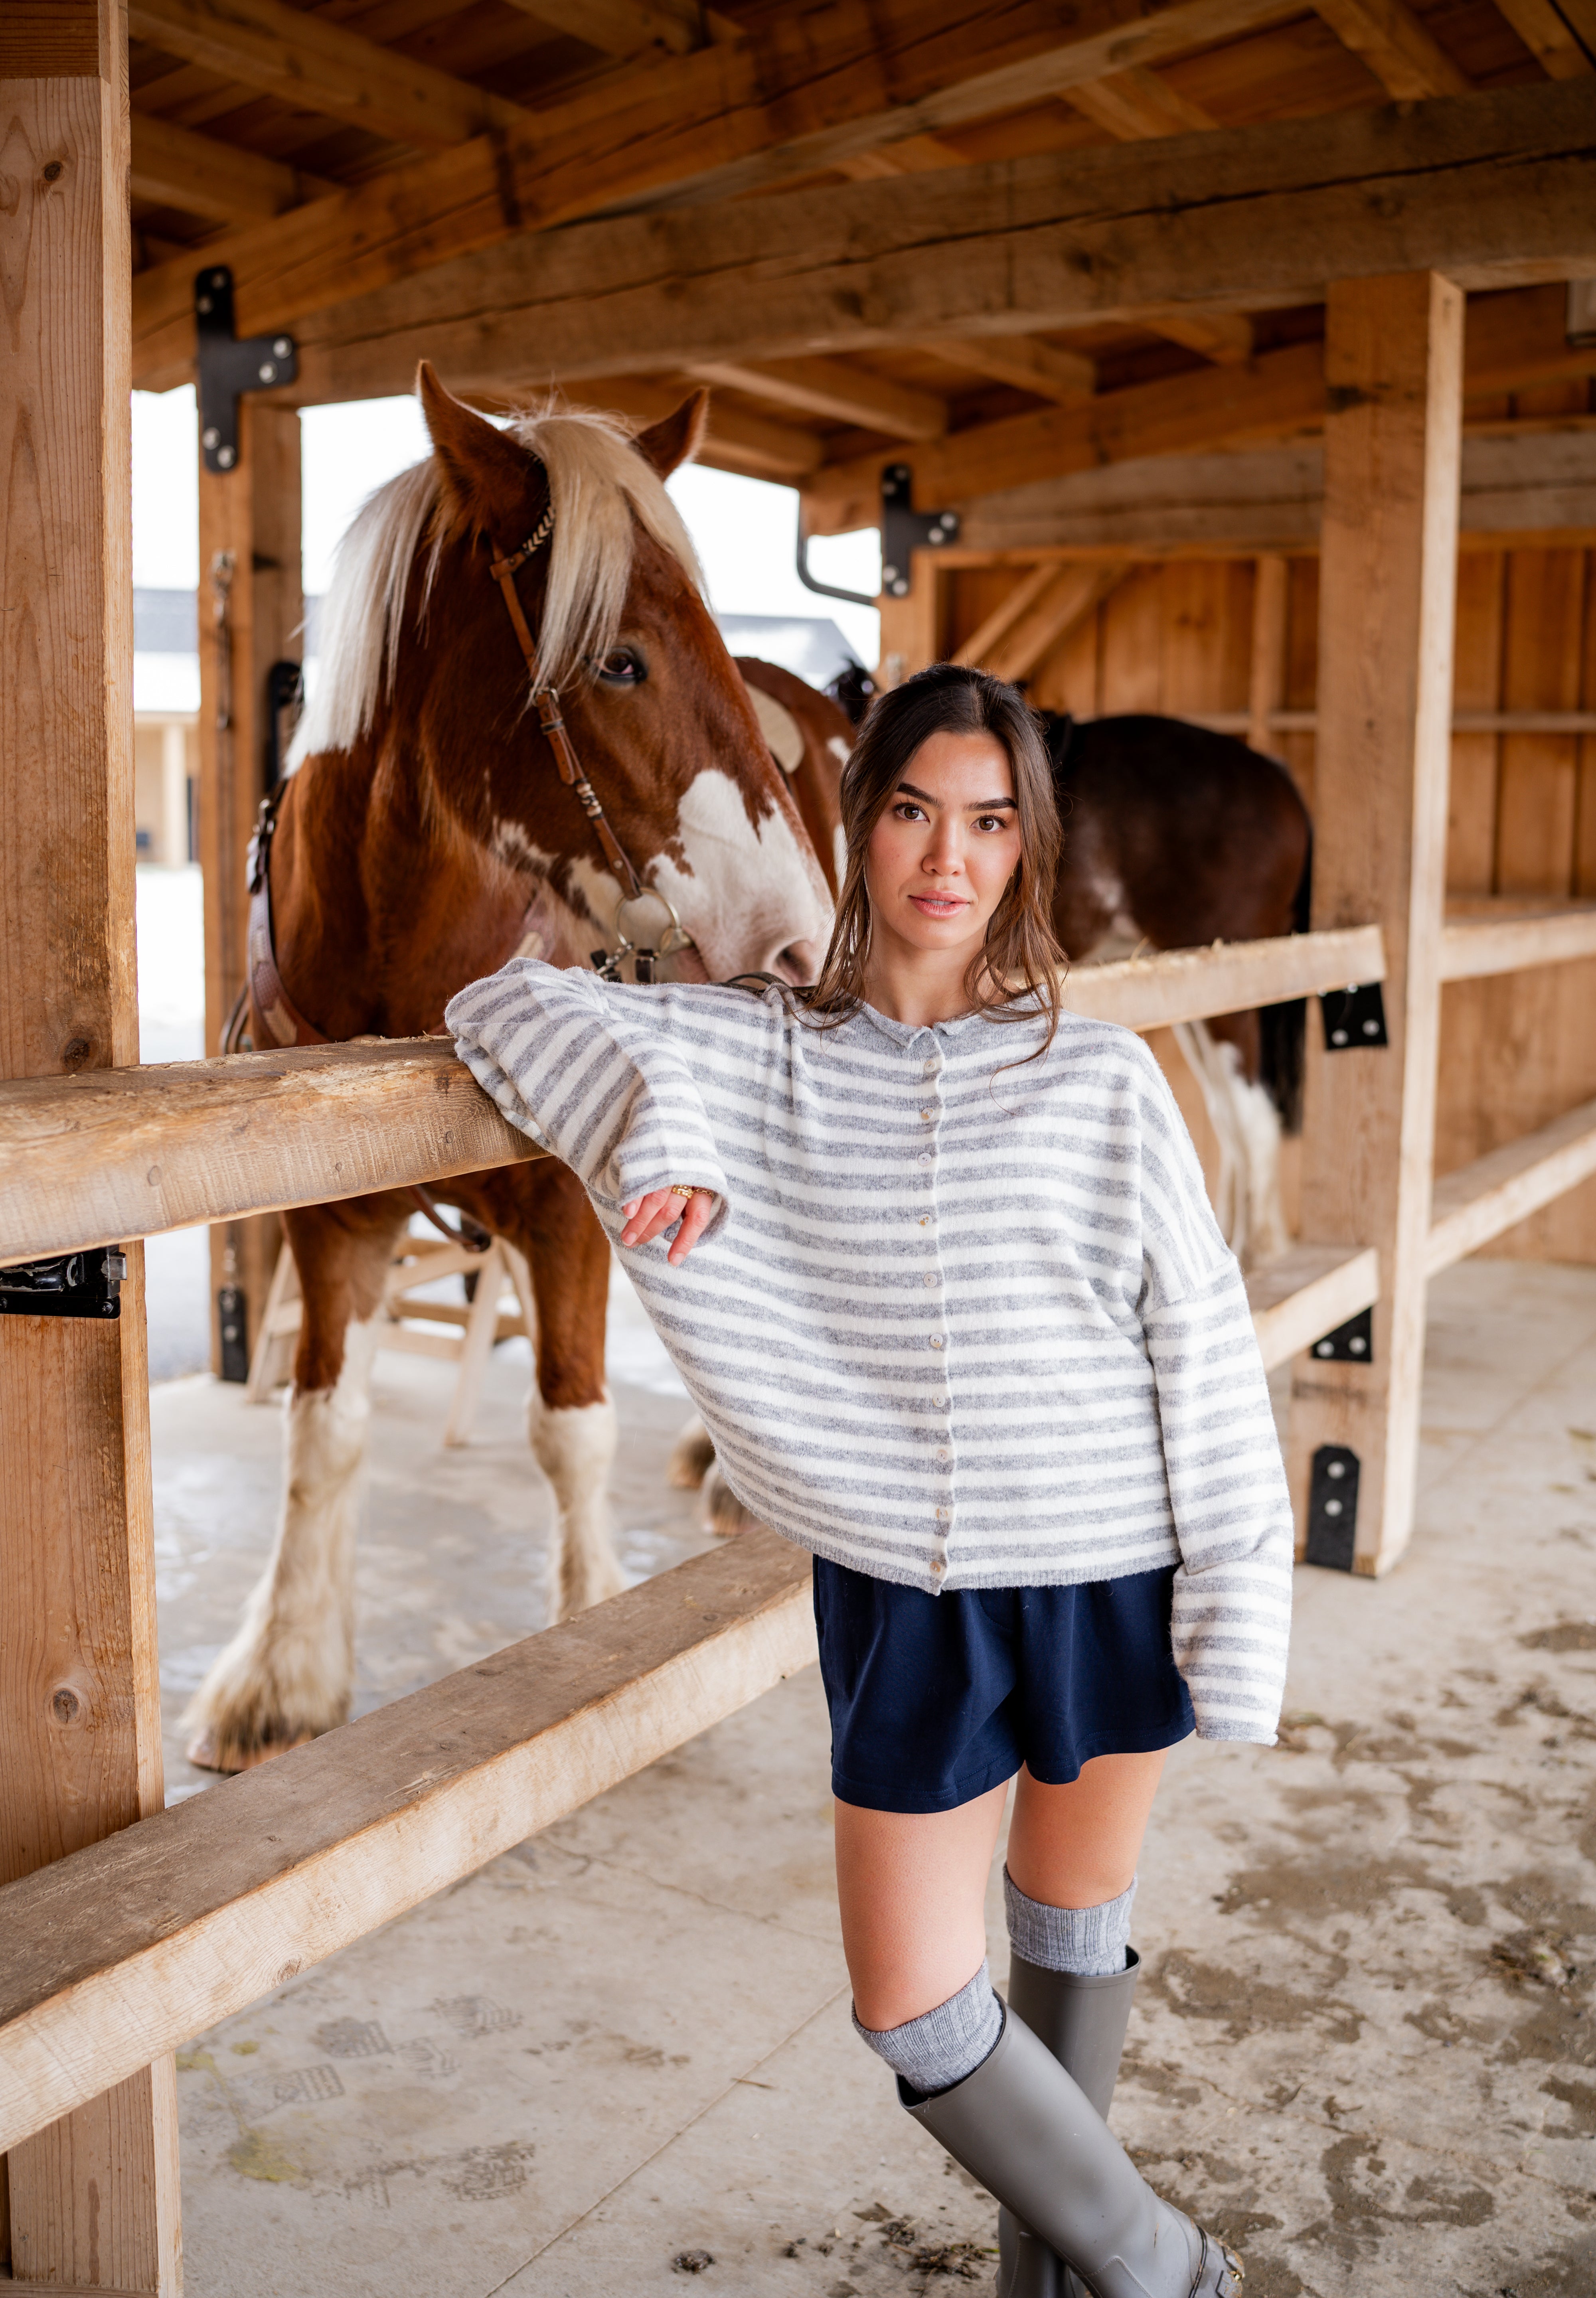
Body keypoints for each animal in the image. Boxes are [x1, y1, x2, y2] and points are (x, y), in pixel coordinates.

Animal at [184, 372, 837, 1774]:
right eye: (621, 659)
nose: (798, 942)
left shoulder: (567, 1211)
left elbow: (571, 1427)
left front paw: (599, 1644)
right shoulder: (331, 1217)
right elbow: (324, 1431)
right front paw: (284, 1671)